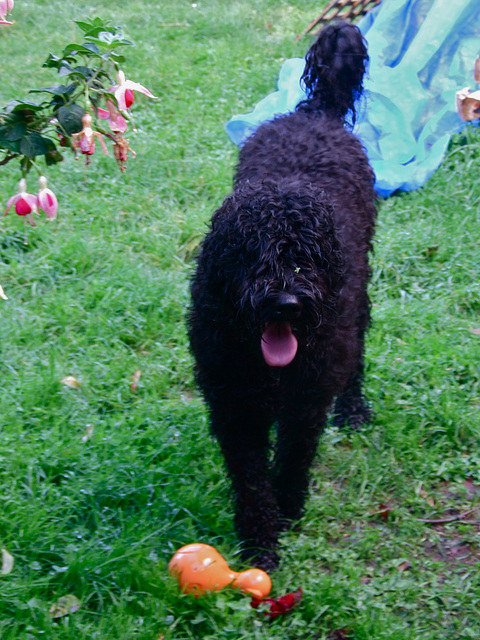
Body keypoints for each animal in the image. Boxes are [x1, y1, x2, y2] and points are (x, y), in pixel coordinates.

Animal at [188, 21, 378, 568]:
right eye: (251, 256)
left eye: (306, 257)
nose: (286, 304)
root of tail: (314, 113)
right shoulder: (233, 404)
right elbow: (251, 479)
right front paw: (259, 541)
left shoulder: (307, 398)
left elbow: (294, 455)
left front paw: (289, 509)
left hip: (357, 303)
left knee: (357, 354)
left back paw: (353, 408)